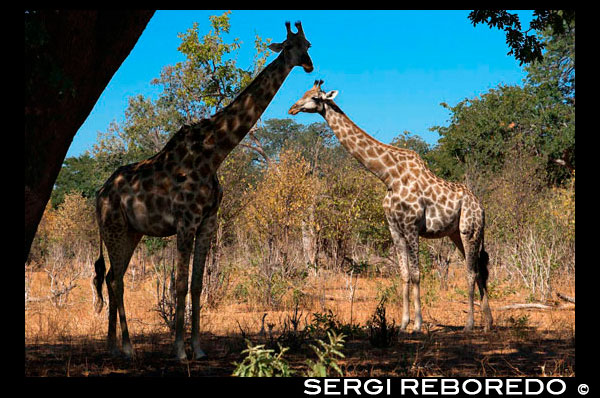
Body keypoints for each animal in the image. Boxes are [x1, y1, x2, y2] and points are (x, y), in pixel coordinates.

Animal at [94, 21, 314, 360]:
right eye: (290, 46)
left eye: (308, 45)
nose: (309, 65)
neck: (214, 153)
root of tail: (99, 195)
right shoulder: (186, 221)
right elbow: (180, 285)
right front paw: (179, 350)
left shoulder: (208, 222)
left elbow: (197, 285)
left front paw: (198, 348)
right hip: (113, 228)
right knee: (116, 280)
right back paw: (127, 348)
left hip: (132, 232)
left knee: (110, 277)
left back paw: (112, 346)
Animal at [290, 80, 492, 332]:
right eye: (304, 93)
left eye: (315, 97)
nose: (292, 108)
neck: (388, 176)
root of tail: (480, 206)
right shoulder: (394, 228)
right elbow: (404, 274)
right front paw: (403, 324)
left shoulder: (412, 227)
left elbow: (416, 274)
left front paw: (417, 325)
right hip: (457, 233)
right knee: (480, 268)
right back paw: (488, 323)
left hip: (469, 230)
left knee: (471, 271)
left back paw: (469, 325)